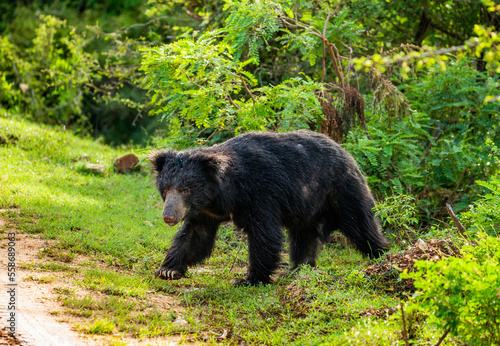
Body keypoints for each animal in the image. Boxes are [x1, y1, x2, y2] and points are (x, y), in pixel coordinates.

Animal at [150, 131, 388, 286]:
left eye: (186, 189)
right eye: (166, 188)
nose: (168, 217)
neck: (220, 195)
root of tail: (347, 154)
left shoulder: (260, 193)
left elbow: (264, 234)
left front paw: (248, 279)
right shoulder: (205, 212)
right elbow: (195, 236)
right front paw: (168, 270)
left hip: (340, 190)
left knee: (361, 225)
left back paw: (383, 256)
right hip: (307, 205)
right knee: (304, 236)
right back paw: (297, 269)